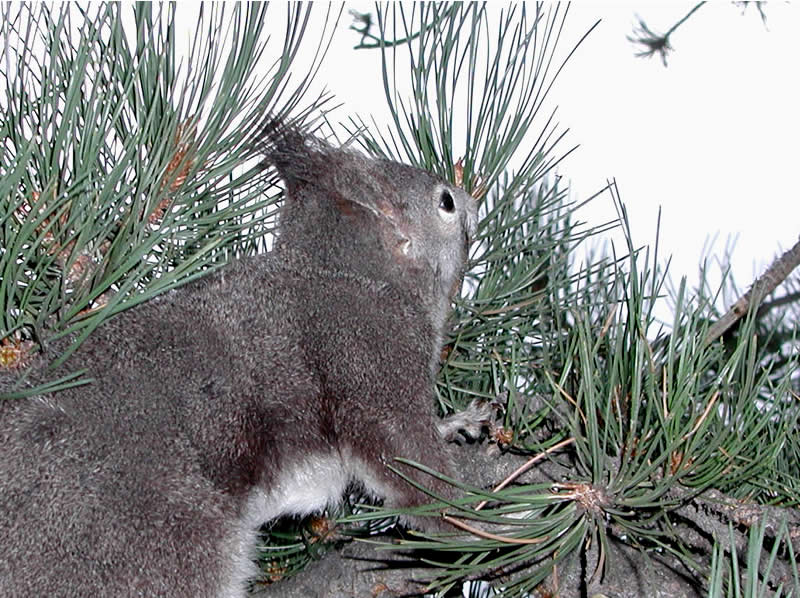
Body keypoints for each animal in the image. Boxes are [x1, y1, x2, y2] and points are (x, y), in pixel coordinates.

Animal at [0, 120, 480, 597]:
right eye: (445, 202)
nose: (472, 201)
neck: (350, 273)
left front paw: (456, 423)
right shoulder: (368, 350)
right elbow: (407, 457)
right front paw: (468, 518)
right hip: (147, 536)